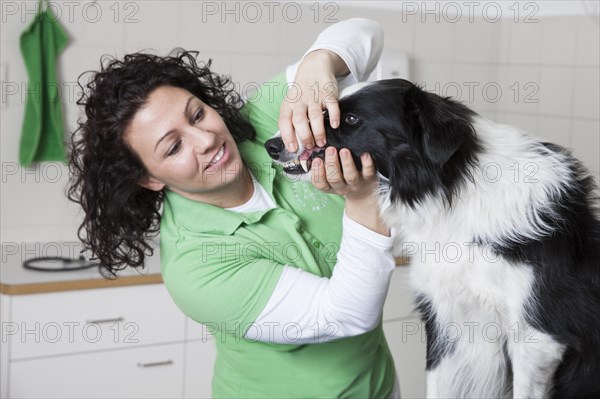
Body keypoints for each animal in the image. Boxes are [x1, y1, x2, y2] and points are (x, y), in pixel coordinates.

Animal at [266, 79, 600, 398]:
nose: (272, 144)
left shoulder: (535, 335)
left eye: (349, 119)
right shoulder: (446, 319)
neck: (451, 192)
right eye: (323, 111)